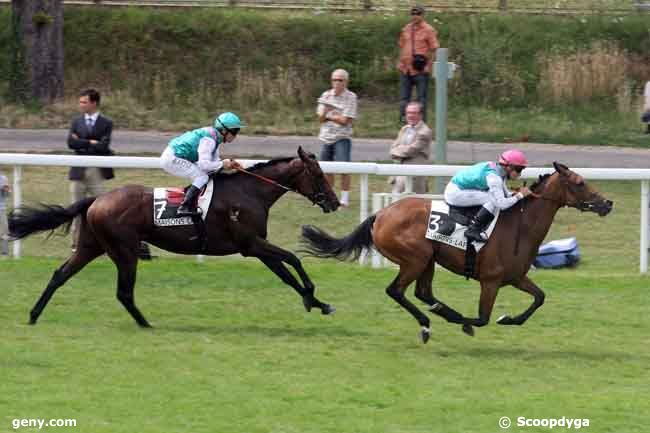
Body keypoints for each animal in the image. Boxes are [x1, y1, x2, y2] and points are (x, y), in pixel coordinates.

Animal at [10, 147, 340, 326]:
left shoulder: (256, 247)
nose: (335, 202)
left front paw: (318, 303)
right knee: (123, 292)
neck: (250, 192)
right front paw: (312, 296)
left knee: (60, 275)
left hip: (92, 246)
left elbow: (286, 275)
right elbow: (294, 259)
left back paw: (34, 314)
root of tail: (96, 200)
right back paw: (145, 323)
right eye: (318, 174)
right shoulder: (251, 244)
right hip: (124, 250)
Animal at [302, 160, 612, 342]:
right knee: (397, 291)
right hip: (415, 259)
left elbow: (539, 298)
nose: (608, 203)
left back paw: (437, 312)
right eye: (580, 183)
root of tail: (380, 215)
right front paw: (467, 322)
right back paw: (428, 323)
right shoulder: (491, 280)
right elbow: (483, 318)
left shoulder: (515, 277)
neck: (520, 225)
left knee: (422, 293)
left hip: (428, 259)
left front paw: (509, 319)